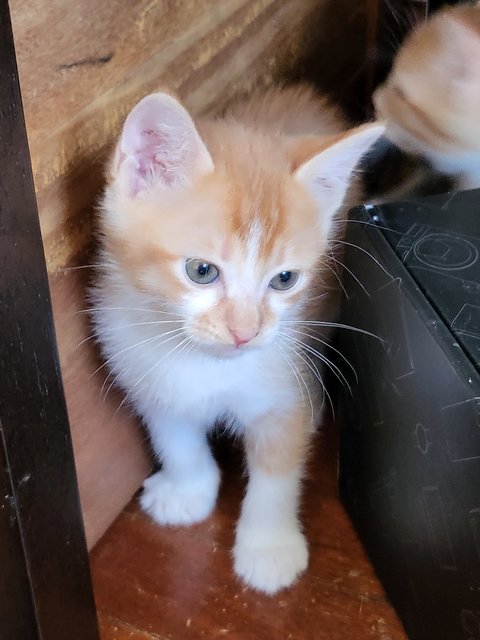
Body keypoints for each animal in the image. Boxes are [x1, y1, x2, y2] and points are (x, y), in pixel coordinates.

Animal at [92, 86, 380, 596]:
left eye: (284, 279)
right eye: (201, 271)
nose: (246, 332)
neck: (204, 363)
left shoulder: (283, 382)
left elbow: (277, 470)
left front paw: (268, 547)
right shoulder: (144, 373)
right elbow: (175, 438)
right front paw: (188, 490)